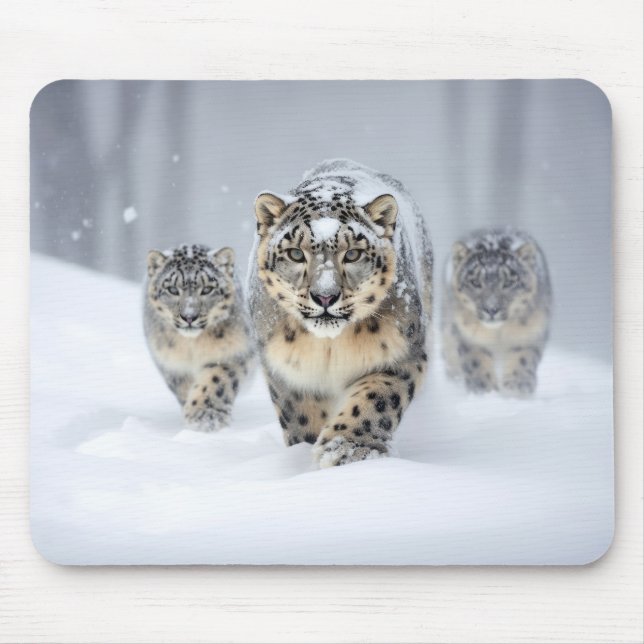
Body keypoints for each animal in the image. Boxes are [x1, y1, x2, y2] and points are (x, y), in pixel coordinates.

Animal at [144, 244, 254, 431]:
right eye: (172, 289)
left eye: (207, 289)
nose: (189, 316)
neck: (192, 347)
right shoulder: (172, 364)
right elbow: (184, 388)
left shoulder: (232, 353)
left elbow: (215, 381)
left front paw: (205, 416)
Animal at [247, 159, 433, 467]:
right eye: (295, 253)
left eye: (353, 254)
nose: (325, 296)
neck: (329, 348)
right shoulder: (287, 369)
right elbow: (300, 413)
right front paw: (307, 450)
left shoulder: (403, 352)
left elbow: (378, 397)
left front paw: (349, 448)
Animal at [441, 227, 552, 397]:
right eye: (475, 282)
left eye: (509, 282)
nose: (491, 308)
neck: (499, 334)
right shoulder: (468, 334)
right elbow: (476, 359)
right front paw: (483, 388)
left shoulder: (530, 332)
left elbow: (523, 357)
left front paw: (517, 386)